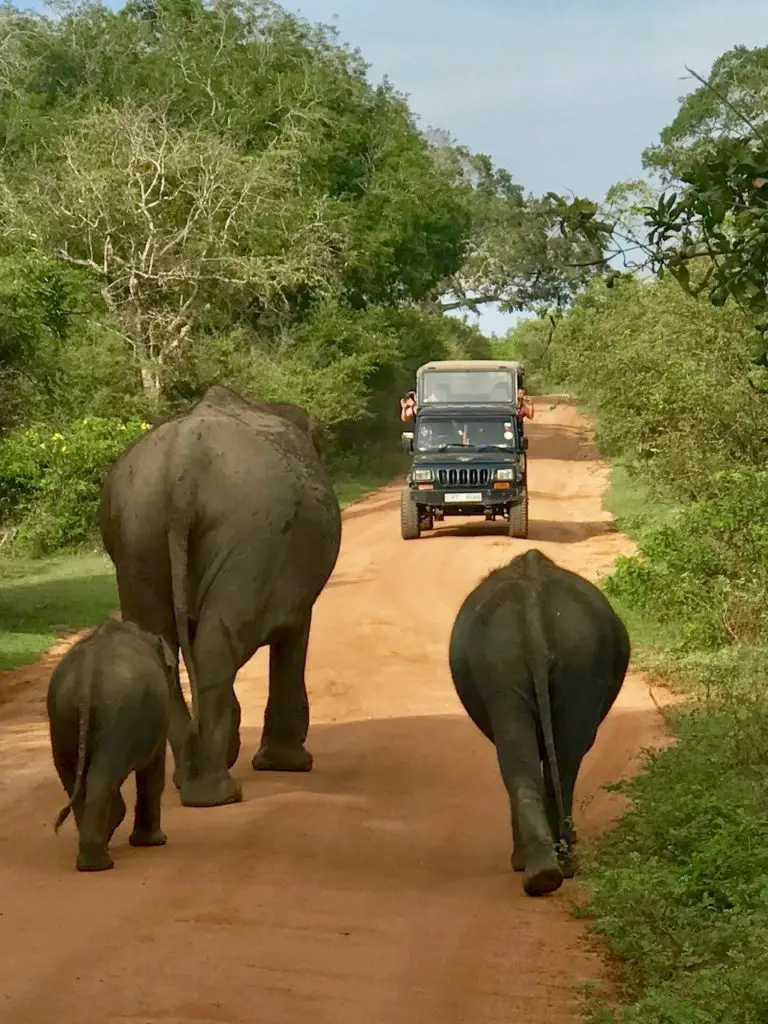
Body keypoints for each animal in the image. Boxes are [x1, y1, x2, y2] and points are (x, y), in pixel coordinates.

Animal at [46, 614, 176, 872]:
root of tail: (87, 673)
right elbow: (153, 771)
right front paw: (156, 841)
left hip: (62, 715)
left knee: (72, 776)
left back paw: (92, 854)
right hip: (120, 713)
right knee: (101, 775)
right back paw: (100, 860)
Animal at [99, 385, 342, 806]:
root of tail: (181, 470)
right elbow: (294, 633)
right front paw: (289, 765)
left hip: (137, 536)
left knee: (166, 644)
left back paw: (191, 781)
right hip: (254, 536)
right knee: (218, 647)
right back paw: (217, 793)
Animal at [450, 552, 630, 897]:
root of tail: (533, 609)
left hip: (522, 662)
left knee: (538, 759)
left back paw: (545, 870)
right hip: (551, 661)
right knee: (559, 757)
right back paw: (551, 869)